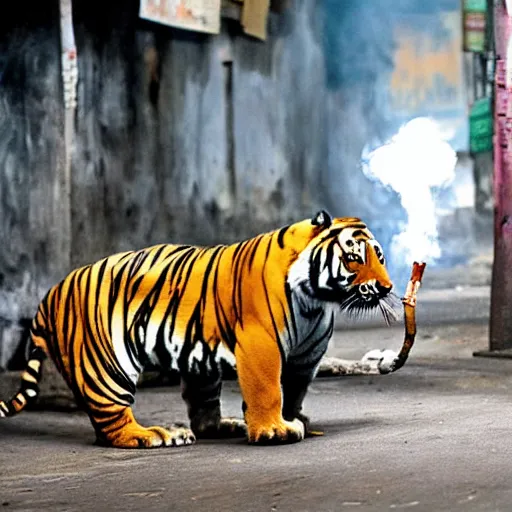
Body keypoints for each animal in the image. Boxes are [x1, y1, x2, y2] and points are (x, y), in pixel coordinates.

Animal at [0, 212, 396, 448]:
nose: (387, 287)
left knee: (201, 409)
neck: (315, 301)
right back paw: (153, 436)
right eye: (354, 258)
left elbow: (293, 391)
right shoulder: (261, 344)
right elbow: (269, 389)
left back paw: (223, 426)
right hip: (105, 364)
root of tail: (50, 294)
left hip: (198, 364)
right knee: (111, 419)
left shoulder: (304, 357)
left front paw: (293, 418)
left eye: (379, 256)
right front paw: (275, 430)